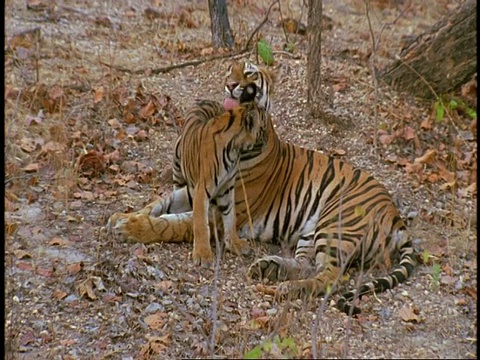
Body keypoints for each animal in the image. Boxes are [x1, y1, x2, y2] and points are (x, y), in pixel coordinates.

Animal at [174, 83, 268, 266]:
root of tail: (205, 99)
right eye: (264, 127)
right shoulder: (202, 189)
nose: (268, 139)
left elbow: (230, 217)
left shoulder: (226, 188)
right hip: (178, 163)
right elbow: (201, 223)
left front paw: (235, 244)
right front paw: (203, 255)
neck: (235, 149)